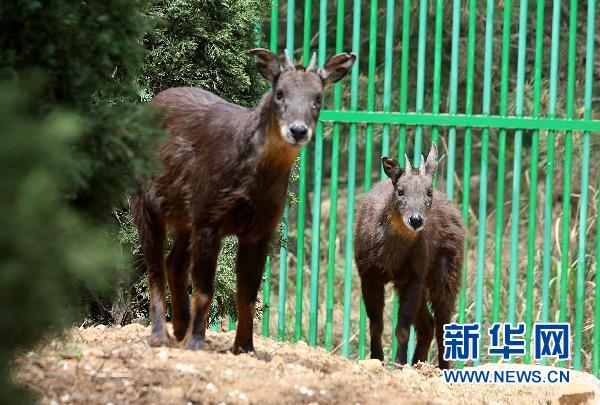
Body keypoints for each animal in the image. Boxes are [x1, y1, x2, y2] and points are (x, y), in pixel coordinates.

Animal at [354, 145, 466, 370]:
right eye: (400, 191)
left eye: (428, 192)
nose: (416, 220)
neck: (390, 252)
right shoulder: (368, 276)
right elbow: (376, 325)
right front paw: (377, 359)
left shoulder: (413, 277)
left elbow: (403, 327)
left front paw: (398, 363)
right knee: (428, 323)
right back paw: (418, 363)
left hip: (445, 274)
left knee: (442, 323)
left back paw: (441, 368)